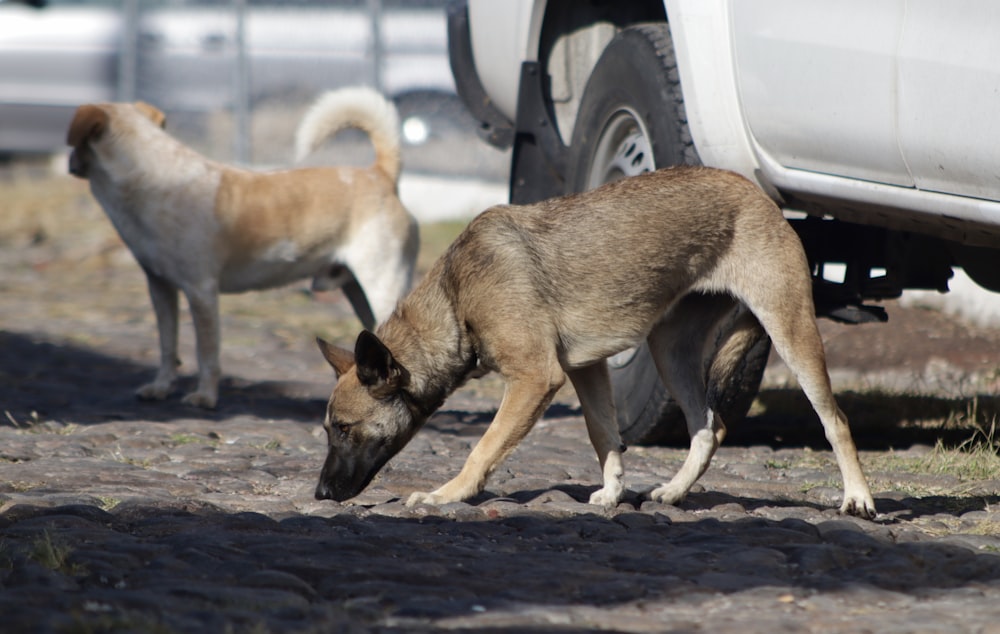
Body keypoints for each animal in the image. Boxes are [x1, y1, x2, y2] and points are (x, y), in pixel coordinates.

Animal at [67, 86, 418, 408]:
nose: (70, 162)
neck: (151, 177)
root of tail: (380, 175)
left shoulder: (201, 292)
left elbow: (206, 352)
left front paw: (204, 398)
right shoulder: (160, 289)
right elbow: (168, 345)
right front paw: (161, 387)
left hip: (382, 285)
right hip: (357, 292)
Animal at [316, 165, 880, 516]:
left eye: (343, 429)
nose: (319, 493)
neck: (457, 300)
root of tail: (759, 194)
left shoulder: (536, 378)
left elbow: (483, 449)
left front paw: (446, 495)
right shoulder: (584, 370)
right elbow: (603, 435)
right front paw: (611, 494)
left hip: (791, 331)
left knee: (835, 421)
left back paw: (858, 499)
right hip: (669, 349)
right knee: (707, 428)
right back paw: (675, 491)